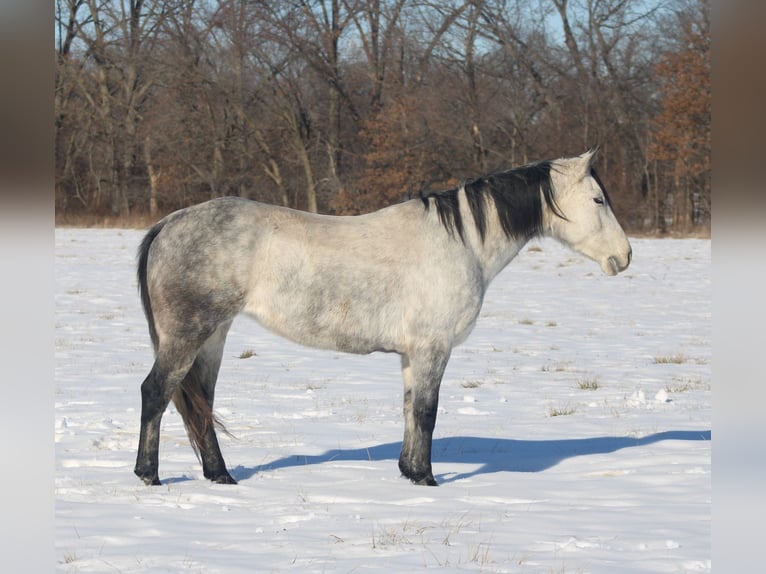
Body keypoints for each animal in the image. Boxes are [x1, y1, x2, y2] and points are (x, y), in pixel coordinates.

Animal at [135, 148, 632, 486]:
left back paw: (220, 476)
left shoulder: (413, 353)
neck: (461, 244)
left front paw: (410, 473)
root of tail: (169, 224)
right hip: (188, 334)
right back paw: (149, 475)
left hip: (213, 336)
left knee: (199, 402)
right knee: (156, 393)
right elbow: (428, 413)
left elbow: (411, 410)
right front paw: (429, 479)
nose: (625, 256)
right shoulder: (433, 348)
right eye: (598, 200)